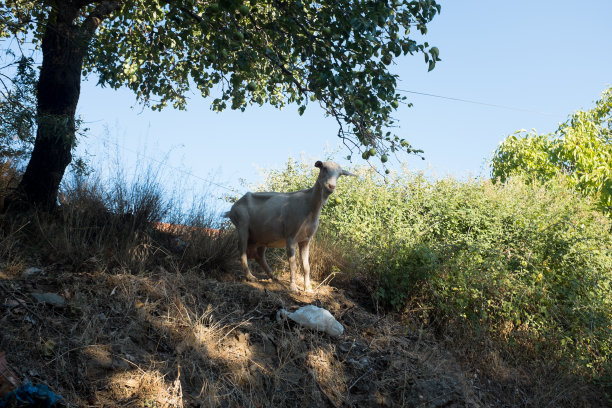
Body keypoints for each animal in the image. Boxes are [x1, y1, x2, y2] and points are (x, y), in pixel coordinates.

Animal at [226, 161, 356, 292]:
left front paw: (308, 288)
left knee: (259, 256)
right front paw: (293, 287)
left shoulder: (306, 240)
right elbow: (293, 264)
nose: (331, 186)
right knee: (242, 251)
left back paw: (273, 276)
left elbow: (306, 266)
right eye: (324, 168)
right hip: (242, 225)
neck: (309, 205)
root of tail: (232, 209)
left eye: (339, 174)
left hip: (262, 237)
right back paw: (250, 276)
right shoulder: (291, 237)